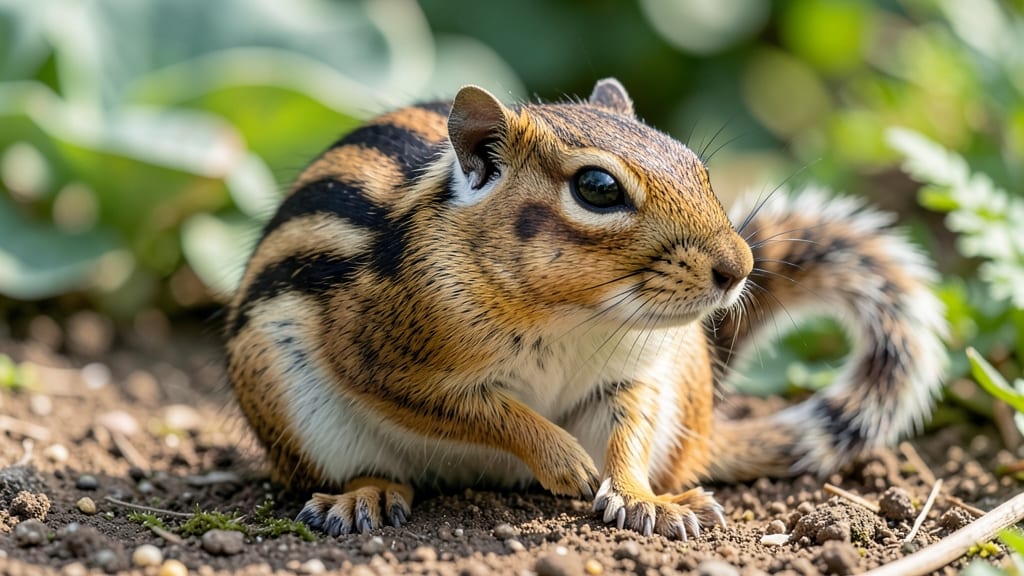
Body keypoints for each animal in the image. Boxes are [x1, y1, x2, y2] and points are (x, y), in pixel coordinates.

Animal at [225, 78, 947, 540]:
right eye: (598, 188)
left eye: (696, 165)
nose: (740, 267)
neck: (573, 317)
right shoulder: (388, 361)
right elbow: (484, 410)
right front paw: (565, 461)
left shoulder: (633, 374)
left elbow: (628, 430)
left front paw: (636, 496)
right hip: (294, 409)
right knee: (376, 473)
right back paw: (364, 496)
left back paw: (671, 493)